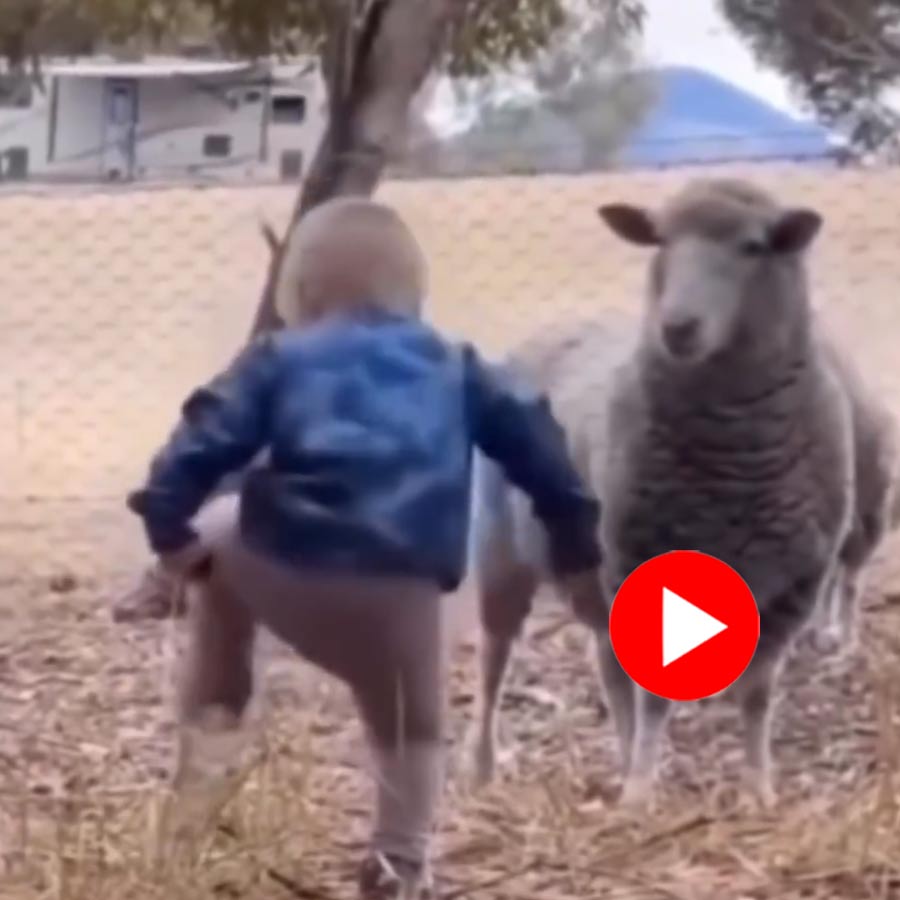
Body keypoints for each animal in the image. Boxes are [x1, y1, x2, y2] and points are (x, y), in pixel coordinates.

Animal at [468, 176, 898, 810]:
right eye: (661, 240)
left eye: (753, 246)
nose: (677, 327)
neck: (734, 470)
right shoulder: (648, 568)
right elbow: (656, 699)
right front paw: (641, 793)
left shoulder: (791, 587)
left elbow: (757, 695)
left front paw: (759, 789)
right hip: (506, 553)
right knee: (495, 657)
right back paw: (484, 765)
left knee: (608, 668)